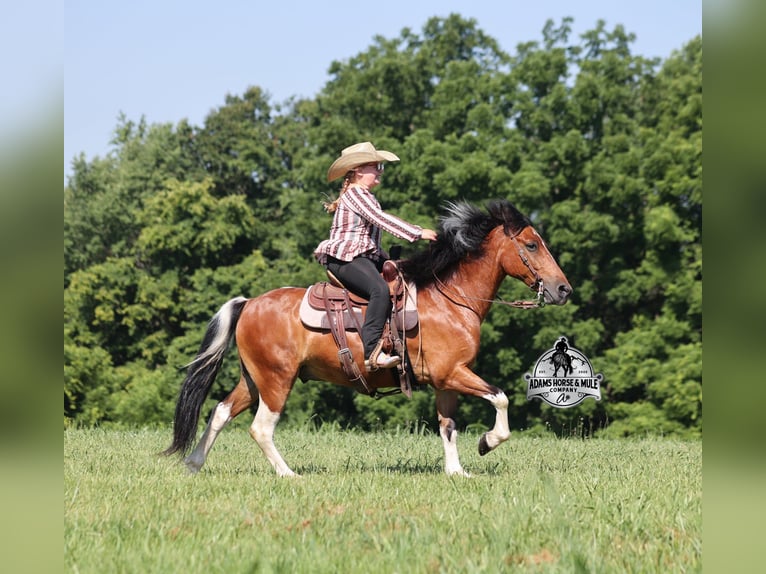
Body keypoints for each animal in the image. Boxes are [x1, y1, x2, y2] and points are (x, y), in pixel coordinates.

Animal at [163, 199, 572, 477]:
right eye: (532, 245)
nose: (563, 289)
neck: (450, 301)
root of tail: (248, 303)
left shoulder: (447, 381)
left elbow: (448, 426)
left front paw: (457, 471)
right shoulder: (452, 373)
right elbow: (500, 398)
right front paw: (487, 443)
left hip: (254, 378)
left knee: (220, 412)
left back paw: (194, 464)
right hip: (277, 380)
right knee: (261, 427)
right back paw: (289, 474)